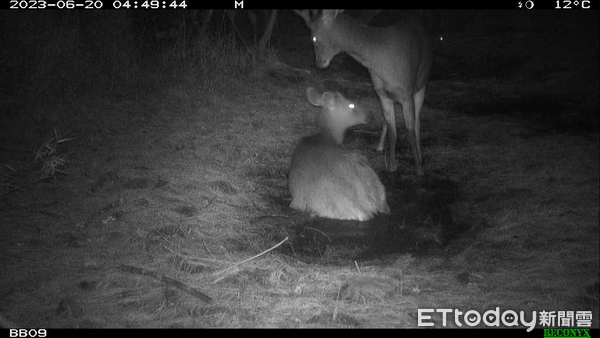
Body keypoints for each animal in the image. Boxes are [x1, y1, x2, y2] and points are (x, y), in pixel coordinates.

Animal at [294, 9, 432, 176]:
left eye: (314, 38)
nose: (319, 63)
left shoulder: (407, 92)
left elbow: (410, 130)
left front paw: (419, 169)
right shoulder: (382, 93)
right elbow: (392, 131)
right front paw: (392, 166)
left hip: (422, 84)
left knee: (418, 121)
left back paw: (420, 154)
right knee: (387, 121)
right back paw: (380, 146)